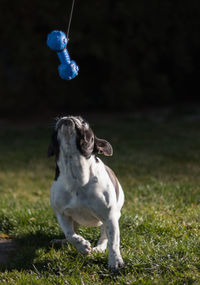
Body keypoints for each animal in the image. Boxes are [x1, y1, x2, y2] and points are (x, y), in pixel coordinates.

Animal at [47, 114, 124, 270]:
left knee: (105, 237)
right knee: (72, 232)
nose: (68, 117)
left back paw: (99, 248)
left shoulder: (109, 216)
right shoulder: (62, 214)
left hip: (110, 219)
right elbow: (70, 234)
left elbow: (113, 241)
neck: (75, 172)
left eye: (84, 122)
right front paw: (82, 246)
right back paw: (62, 241)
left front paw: (115, 260)